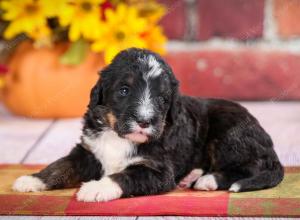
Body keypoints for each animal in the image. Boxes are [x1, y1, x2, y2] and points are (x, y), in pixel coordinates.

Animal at [12, 47, 284, 201]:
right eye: (124, 90)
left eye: (163, 99)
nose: (144, 121)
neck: (119, 137)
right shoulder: (88, 151)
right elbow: (61, 165)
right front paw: (31, 180)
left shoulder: (157, 170)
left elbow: (125, 175)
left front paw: (95, 189)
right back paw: (192, 176)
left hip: (229, 134)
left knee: (248, 168)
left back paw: (208, 180)